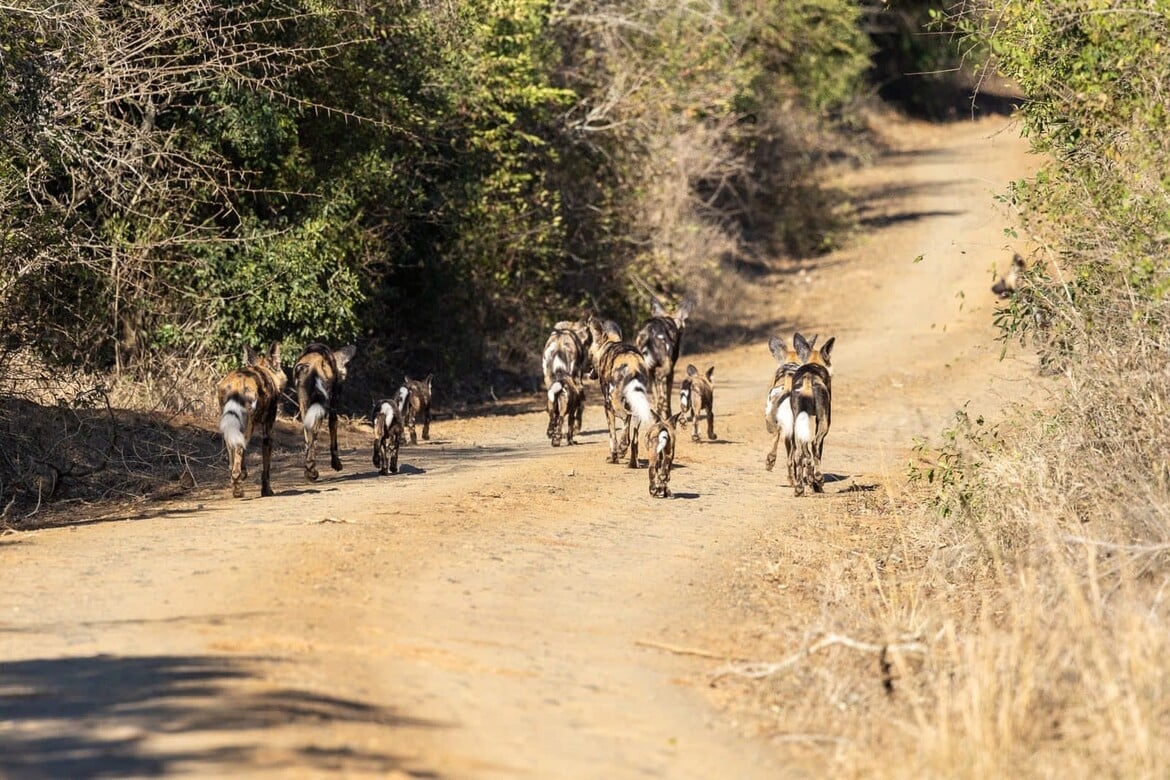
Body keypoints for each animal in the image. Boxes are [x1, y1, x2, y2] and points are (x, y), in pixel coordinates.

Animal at [217, 343, 287, 500]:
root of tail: (237, 382)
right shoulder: (267, 431)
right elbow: (266, 469)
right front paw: (266, 491)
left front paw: (245, 474)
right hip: (248, 427)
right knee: (238, 454)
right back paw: (238, 489)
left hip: (230, 426)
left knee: (232, 459)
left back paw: (237, 485)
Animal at [292, 343, 355, 481]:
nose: (341, 388)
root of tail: (314, 364)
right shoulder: (333, 408)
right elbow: (333, 439)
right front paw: (336, 464)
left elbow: (308, 440)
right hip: (323, 405)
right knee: (314, 433)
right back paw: (312, 473)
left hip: (305, 407)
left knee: (309, 435)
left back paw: (309, 471)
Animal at [585, 313, 659, 467]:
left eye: (589, 354)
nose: (586, 367)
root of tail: (632, 362)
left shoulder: (607, 406)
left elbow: (612, 435)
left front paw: (613, 456)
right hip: (637, 402)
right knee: (635, 436)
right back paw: (633, 463)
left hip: (614, 400)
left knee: (626, 417)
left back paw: (622, 448)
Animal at [786, 334, 833, 493]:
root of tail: (808, 379)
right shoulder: (821, 419)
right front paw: (817, 484)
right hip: (824, 423)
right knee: (814, 444)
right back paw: (818, 480)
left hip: (796, 425)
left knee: (800, 455)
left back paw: (799, 489)